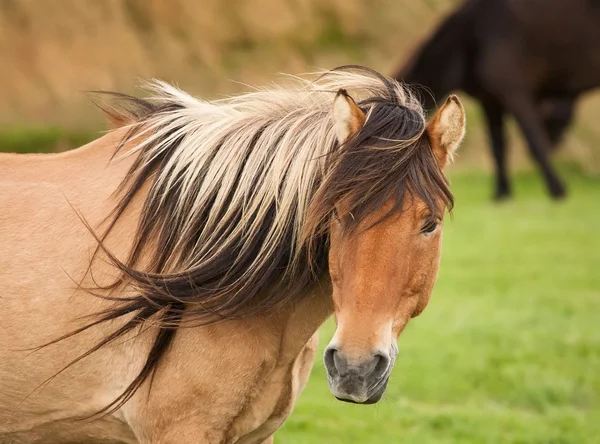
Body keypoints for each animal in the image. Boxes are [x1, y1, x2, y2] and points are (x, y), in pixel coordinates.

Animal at [394, 0, 600, 199]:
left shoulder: (515, 93)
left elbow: (535, 143)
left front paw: (557, 189)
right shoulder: (490, 101)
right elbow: (498, 147)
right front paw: (502, 193)